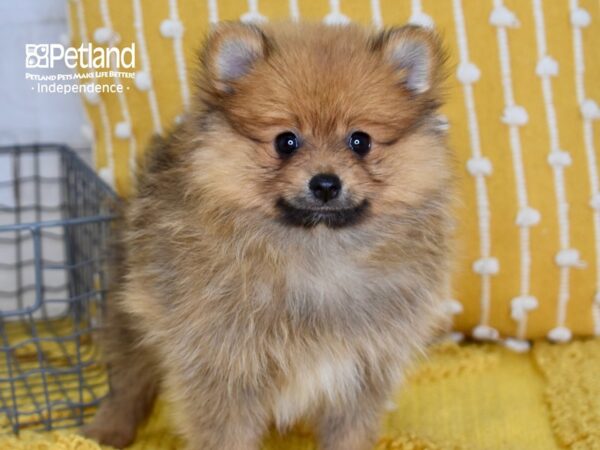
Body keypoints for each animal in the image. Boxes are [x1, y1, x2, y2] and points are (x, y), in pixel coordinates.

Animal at [82, 21, 452, 450]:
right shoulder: (223, 365)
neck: (319, 252)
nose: (325, 183)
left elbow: (349, 431)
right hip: (133, 309)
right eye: (285, 141)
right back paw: (108, 430)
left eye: (360, 141)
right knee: (129, 378)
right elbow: (224, 435)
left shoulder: (364, 369)